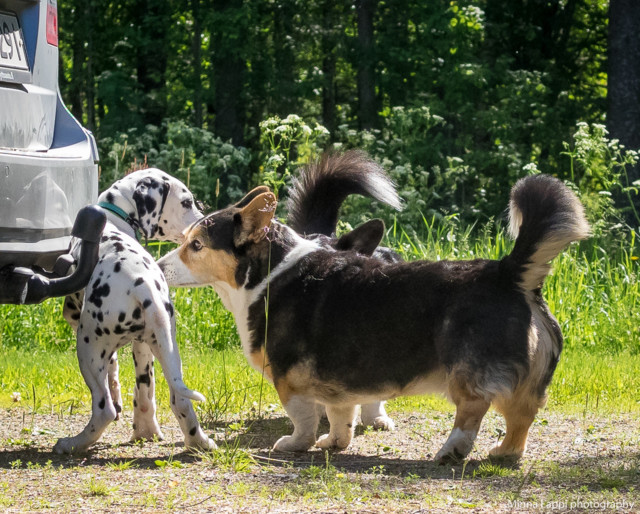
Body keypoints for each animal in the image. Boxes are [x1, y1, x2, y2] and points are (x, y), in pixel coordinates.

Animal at [55, 168, 215, 452]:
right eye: (187, 202)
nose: (202, 224)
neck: (115, 216)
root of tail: (144, 287)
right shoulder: (143, 347)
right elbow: (141, 392)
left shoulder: (74, 317)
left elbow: (112, 371)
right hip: (167, 349)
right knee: (180, 400)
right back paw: (197, 441)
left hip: (87, 347)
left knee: (104, 409)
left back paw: (73, 444)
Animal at [159, 172, 592, 460]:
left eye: (196, 245)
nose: (158, 267)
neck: (268, 273)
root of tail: (508, 272)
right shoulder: (336, 381)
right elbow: (340, 417)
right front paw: (334, 444)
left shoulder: (290, 381)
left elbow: (303, 419)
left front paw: (296, 445)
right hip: (530, 380)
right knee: (523, 414)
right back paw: (505, 453)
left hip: (466, 372)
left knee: (474, 409)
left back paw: (452, 450)